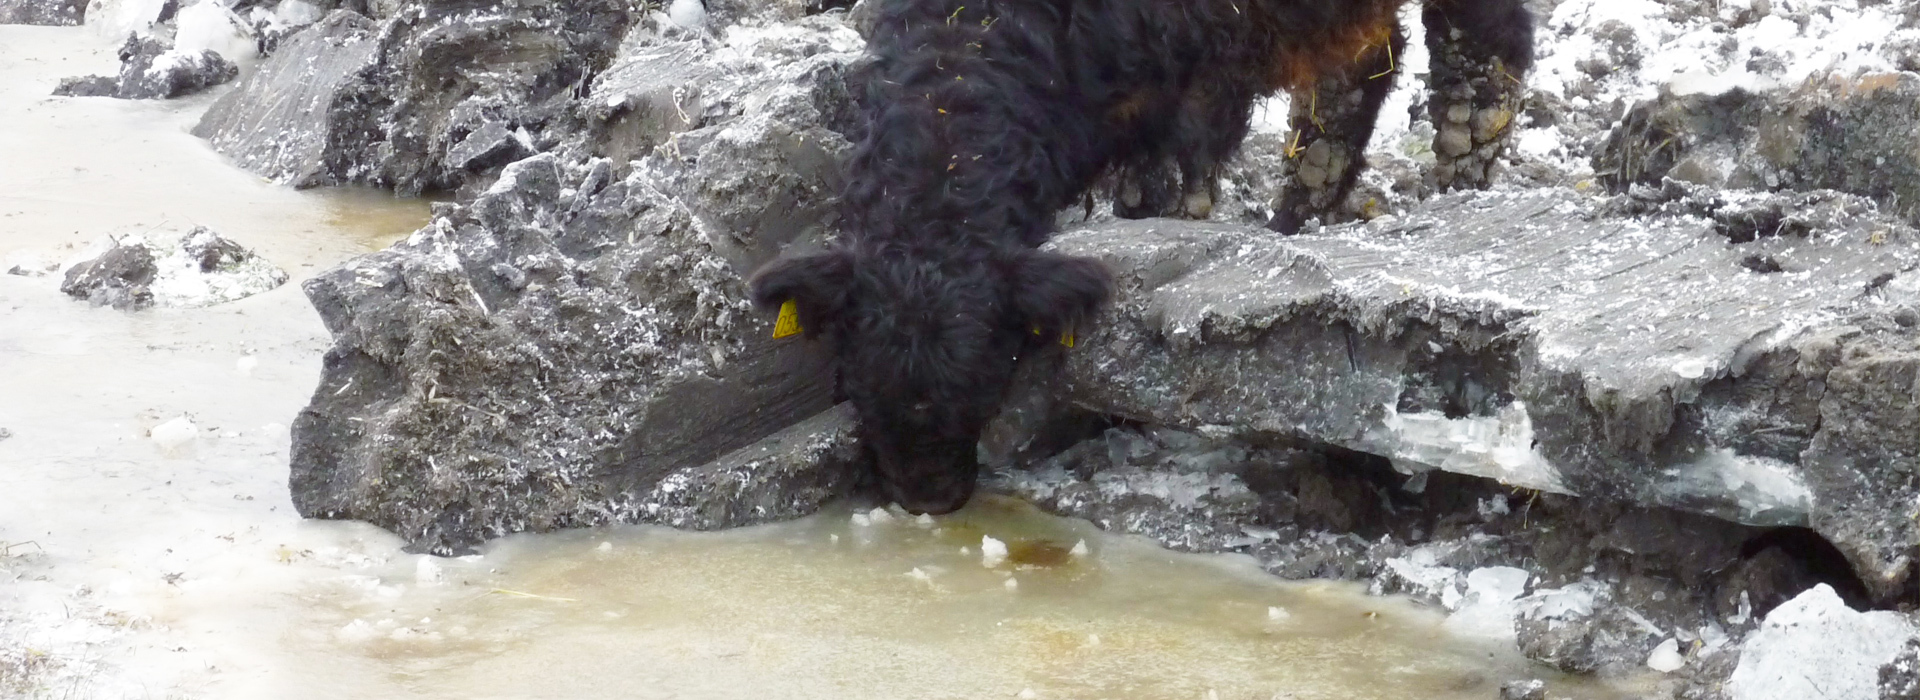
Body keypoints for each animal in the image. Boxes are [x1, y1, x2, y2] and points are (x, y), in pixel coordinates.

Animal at [744, 0, 1528, 513]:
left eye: (987, 376)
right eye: (858, 378)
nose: (925, 499)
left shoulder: (1191, 85)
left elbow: (1175, 193)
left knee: (1484, 50)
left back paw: (1463, 174)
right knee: (1361, 64)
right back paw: (1299, 213)